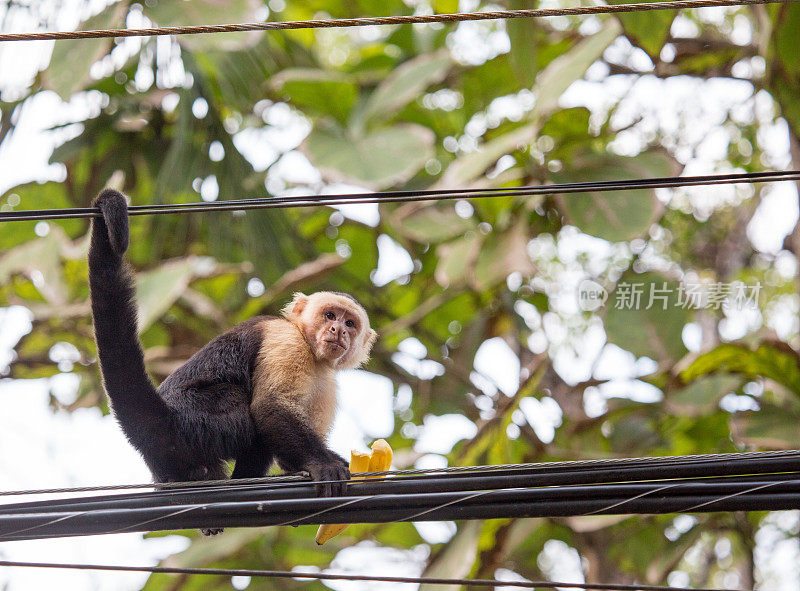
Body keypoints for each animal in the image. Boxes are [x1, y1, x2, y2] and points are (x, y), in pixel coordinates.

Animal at [89, 191, 376, 512]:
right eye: (329, 315)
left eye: (350, 323)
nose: (337, 330)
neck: (309, 348)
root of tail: (160, 419)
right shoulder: (285, 341)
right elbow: (270, 407)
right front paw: (322, 463)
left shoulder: (327, 380)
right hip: (193, 423)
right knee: (241, 407)